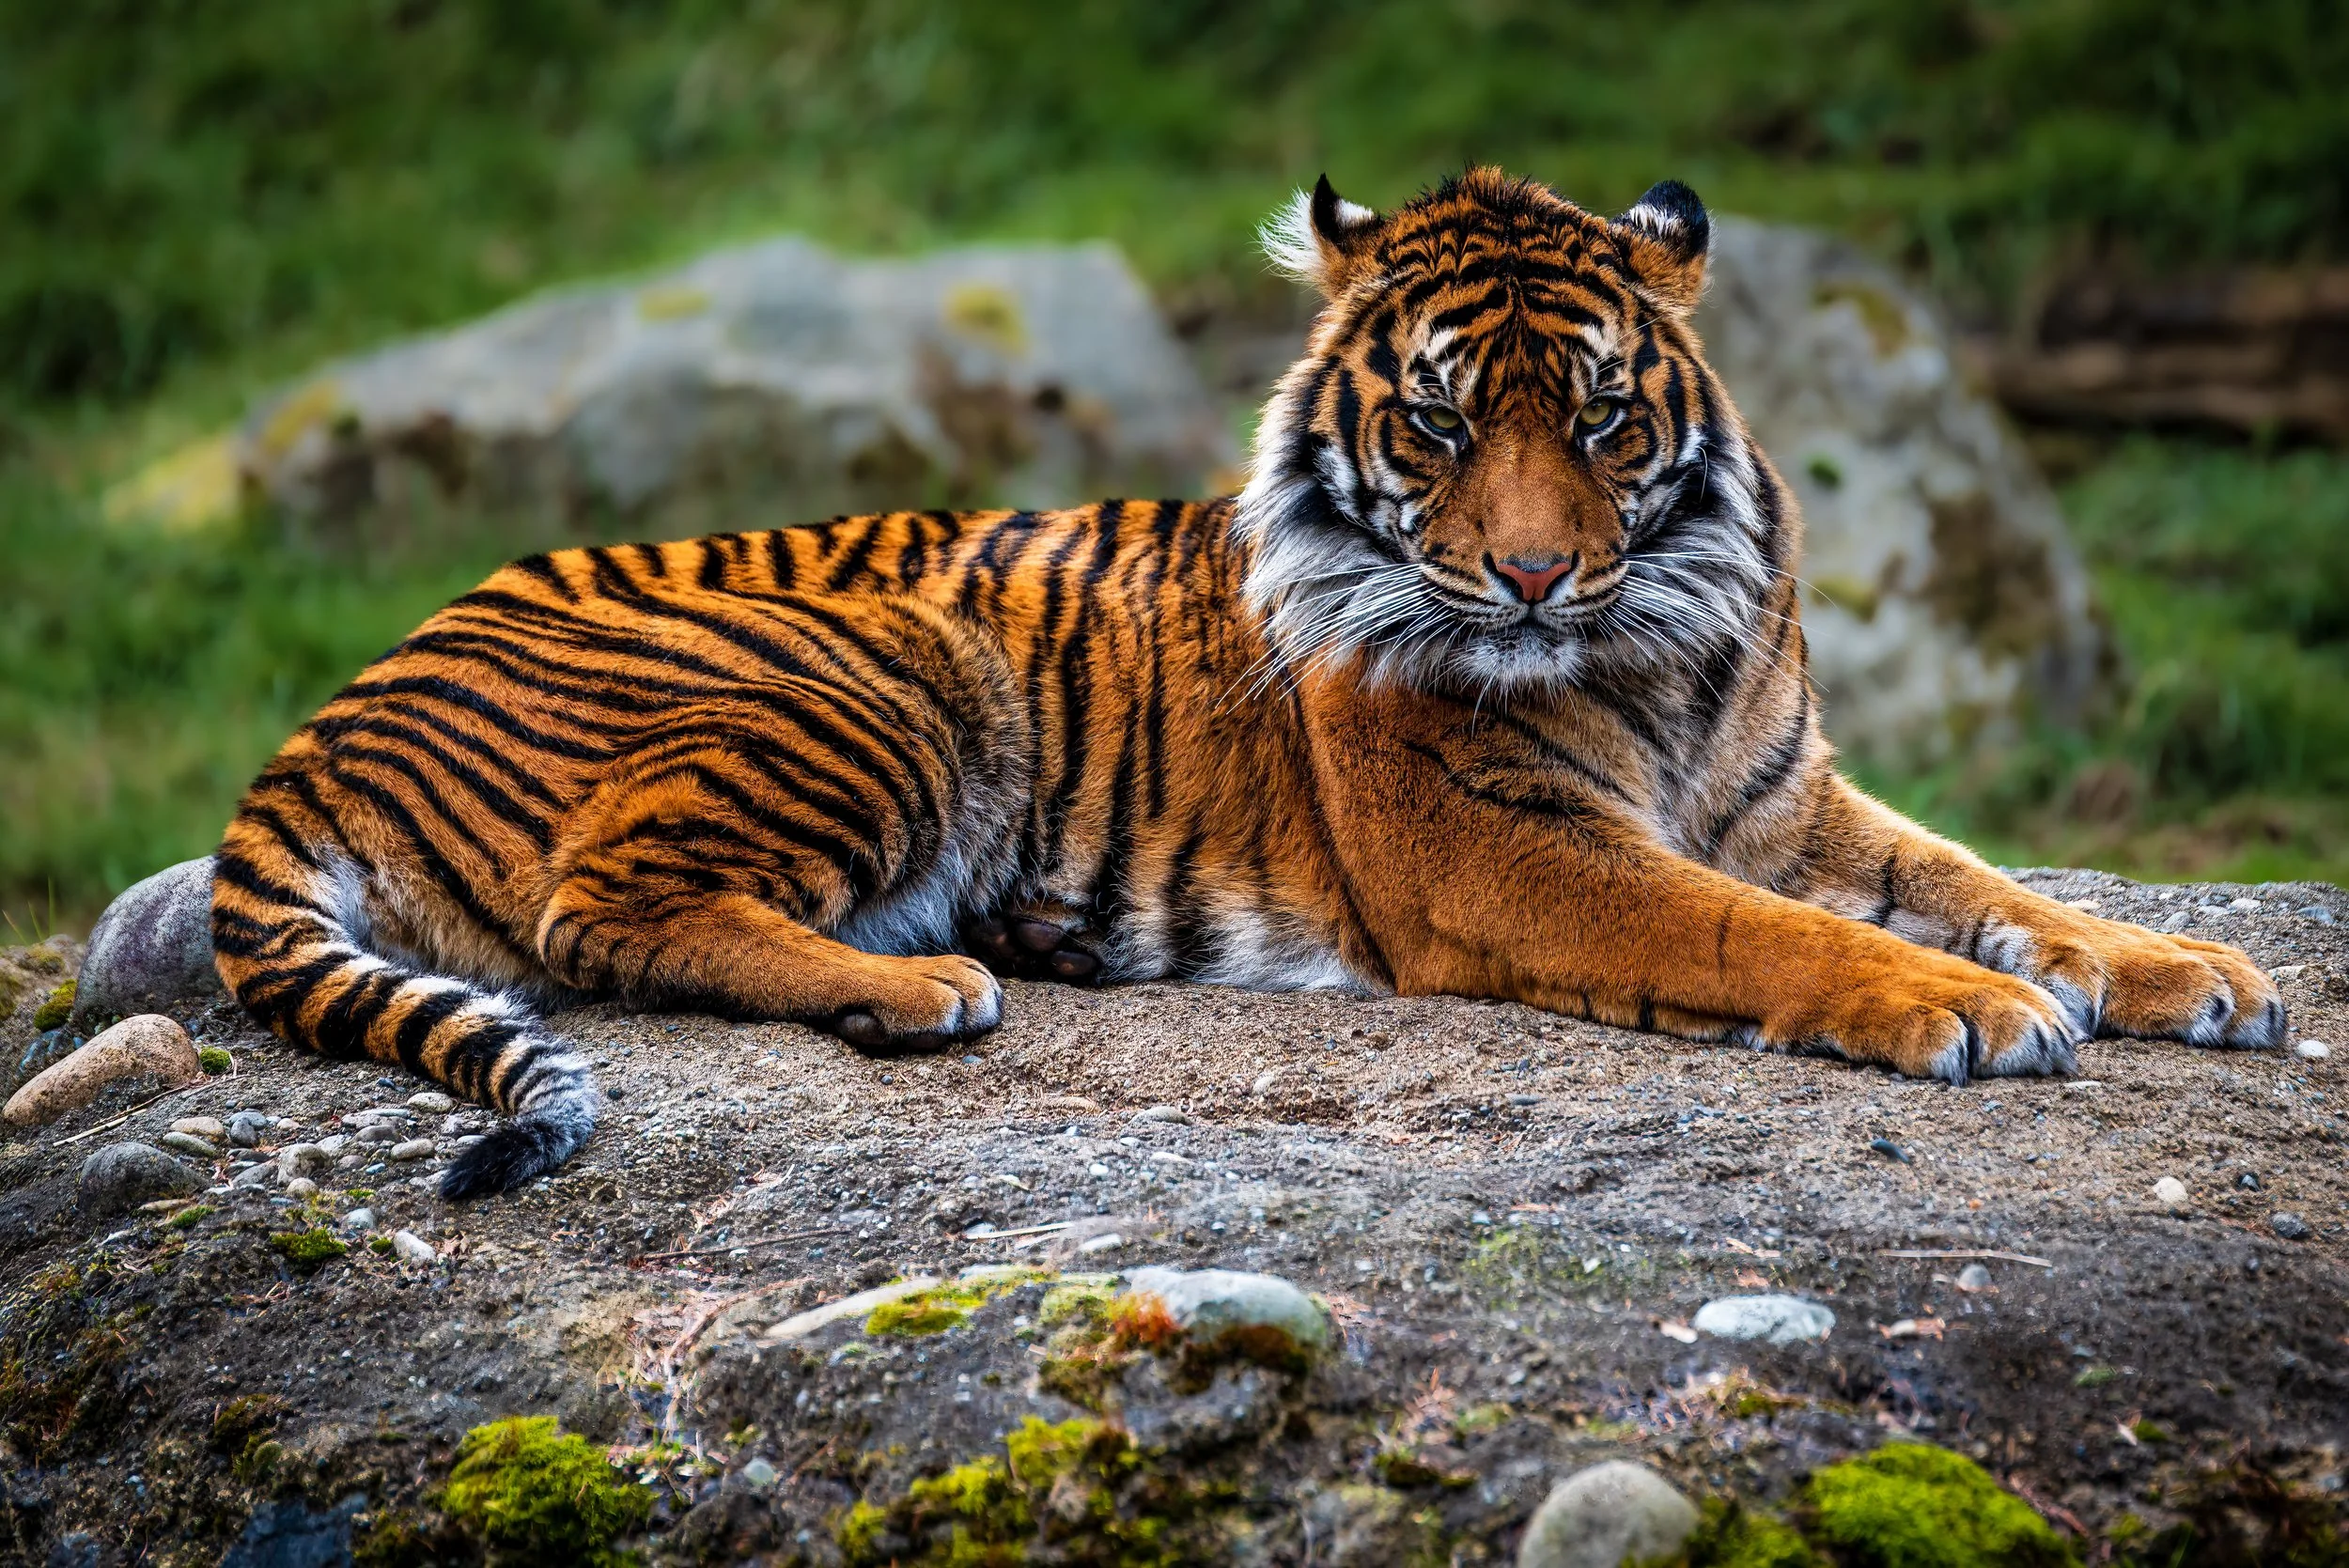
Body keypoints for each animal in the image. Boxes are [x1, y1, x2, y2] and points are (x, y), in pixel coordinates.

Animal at [210, 167, 2287, 1199]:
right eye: (1436, 425)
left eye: (1601, 418)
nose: (1534, 571)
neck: (1662, 636)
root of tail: (327, 710)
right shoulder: (1505, 853)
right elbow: (1757, 933)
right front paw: (1966, 1009)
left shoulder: (1786, 799)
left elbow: (1985, 880)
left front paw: (2196, 972)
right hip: (893, 663)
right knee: (594, 911)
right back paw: (927, 982)